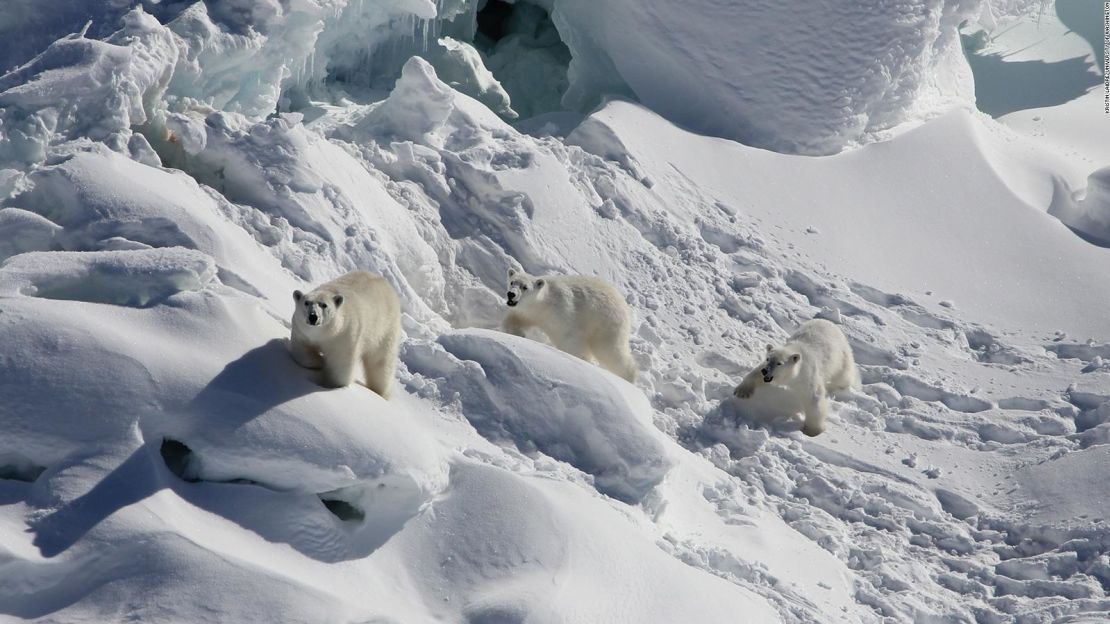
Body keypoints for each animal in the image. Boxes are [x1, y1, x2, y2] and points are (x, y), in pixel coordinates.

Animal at [501, 266, 639, 379]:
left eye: (525, 287)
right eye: (512, 282)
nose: (511, 294)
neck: (543, 303)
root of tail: (623, 304)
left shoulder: (560, 313)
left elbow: (569, 338)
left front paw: (580, 359)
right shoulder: (528, 312)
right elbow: (514, 319)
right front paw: (517, 334)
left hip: (606, 323)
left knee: (610, 350)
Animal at [732, 317, 861, 435]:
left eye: (779, 363)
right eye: (768, 359)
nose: (765, 371)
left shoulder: (807, 374)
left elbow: (814, 398)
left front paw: (812, 430)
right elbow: (756, 373)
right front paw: (742, 391)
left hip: (841, 357)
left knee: (843, 376)